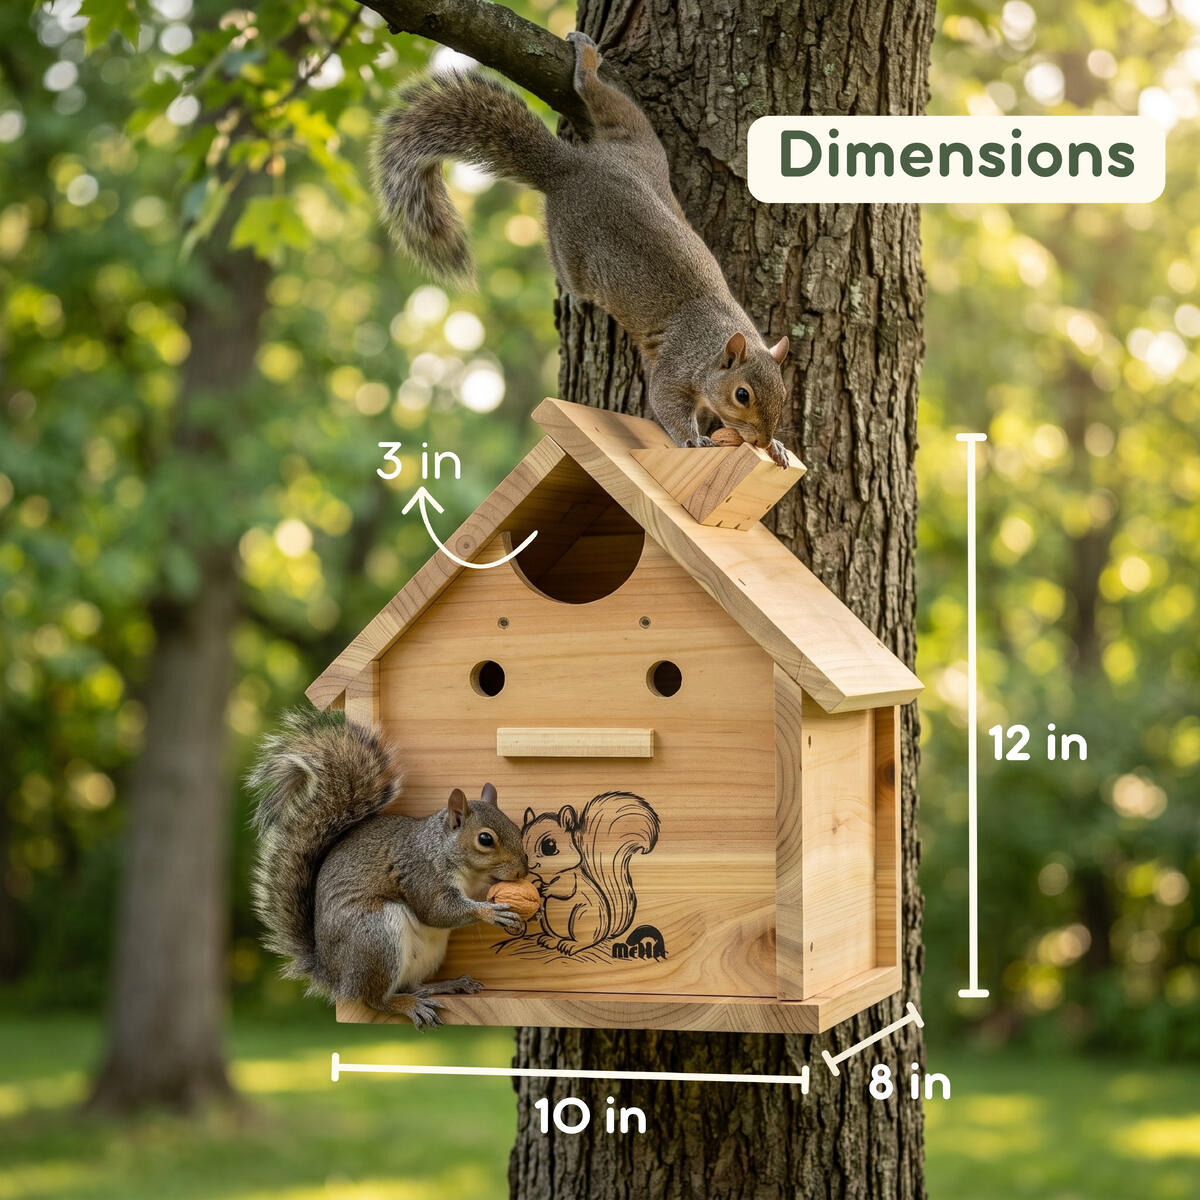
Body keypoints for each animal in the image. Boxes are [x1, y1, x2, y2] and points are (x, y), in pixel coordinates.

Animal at [249, 707, 529, 1029]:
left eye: (515, 826)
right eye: (485, 839)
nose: (523, 871)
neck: (443, 851)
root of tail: (335, 977)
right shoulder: (422, 875)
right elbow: (438, 910)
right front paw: (490, 912)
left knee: (413, 985)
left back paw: (447, 985)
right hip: (376, 937)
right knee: (375, 999)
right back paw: (406, 1005)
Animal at [372, 31, 791, 466]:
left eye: (784, 393)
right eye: (742, 394)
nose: (763, 438)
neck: (714, 341)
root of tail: (567, 168)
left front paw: (776, 448)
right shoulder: (676, 367)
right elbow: (666, 402)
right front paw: (694, 441)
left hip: (638, 143)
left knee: (606, 103)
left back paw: (587, 64)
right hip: (568, 246)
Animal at [520, 791, 659, 956]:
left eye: (549, 846)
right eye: (521, 839)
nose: (527, 862)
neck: (549, 875)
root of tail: (605, 932)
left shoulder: (571, 878)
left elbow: (566, 889)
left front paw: (548, 889)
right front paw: (535, 886)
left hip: (582, 916)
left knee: (586, 941)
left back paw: (570, 945)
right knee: (556, 937)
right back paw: (550, 940)